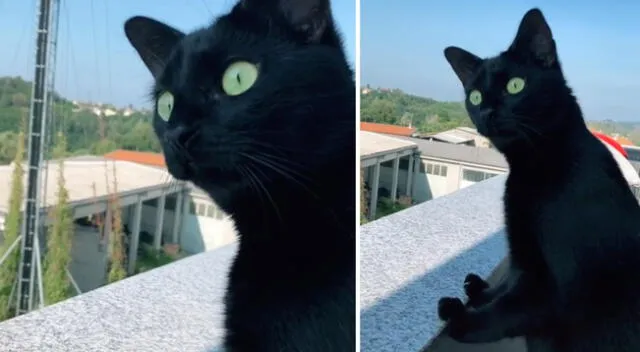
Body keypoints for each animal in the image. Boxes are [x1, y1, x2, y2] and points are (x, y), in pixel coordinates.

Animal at [440, 8, 640, 352]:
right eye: (475, 96)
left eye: (515, 86)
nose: (487, 112)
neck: (536, 163)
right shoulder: (523, 257)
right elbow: (506, 287)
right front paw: (477, 292)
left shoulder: (552, 287)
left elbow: (505, 311)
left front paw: (462, 320)